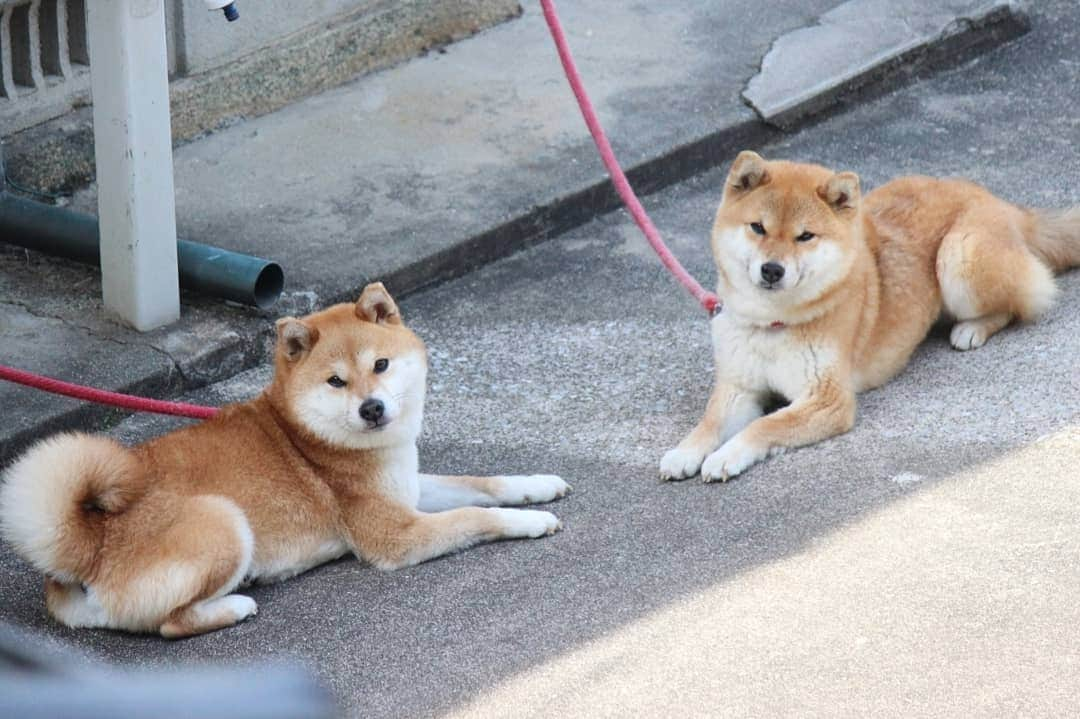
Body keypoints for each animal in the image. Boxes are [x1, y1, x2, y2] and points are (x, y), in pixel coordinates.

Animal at [0, 282, 570, 634]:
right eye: (336, 381)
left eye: (381, 365)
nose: (372, 408)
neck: (310, 434)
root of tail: (88, 544)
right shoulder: (395, 534)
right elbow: (477, 513)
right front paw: (531, 521)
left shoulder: (406, 488)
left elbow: (483, 482)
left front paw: (538, 483)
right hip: (223, 522)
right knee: (169, 622)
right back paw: (236, 603)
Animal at [656, 152, 1080, 481]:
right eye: (757, 227)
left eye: (805, 236)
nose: (772, 270)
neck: (773, 325)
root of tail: (999, 202)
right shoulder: (738, 387)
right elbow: (710, 422)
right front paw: (686, 452)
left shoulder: (827, 399)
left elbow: (764, 426)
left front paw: (725, 456)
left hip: (959, 257)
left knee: (1021, 301)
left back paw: (972, 329)